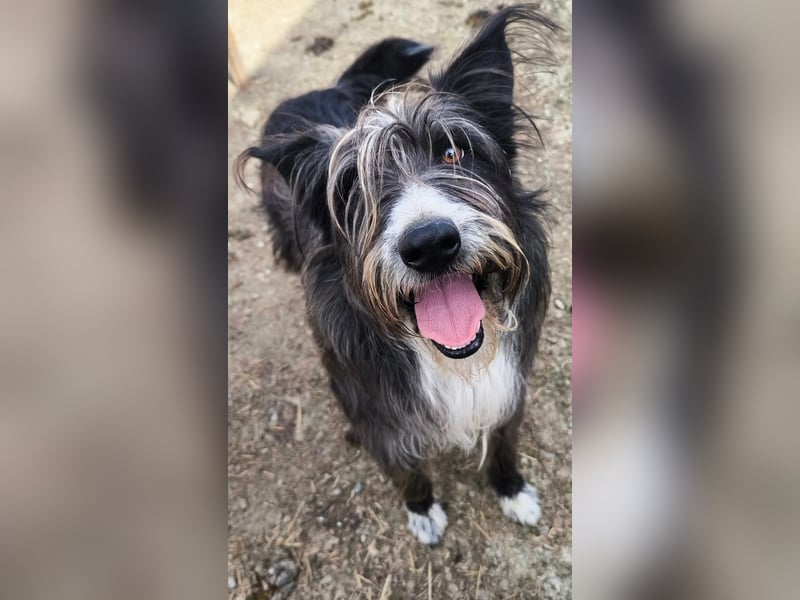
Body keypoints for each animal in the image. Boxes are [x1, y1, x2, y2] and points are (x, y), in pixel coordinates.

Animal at [238, 5, 557, 545]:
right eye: (351, 189)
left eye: (453, 152)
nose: (429, 245)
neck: (447, 359)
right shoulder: (380, 418)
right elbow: (407, 469)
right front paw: (422, 509)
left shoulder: (510, 386)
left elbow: (503, 439)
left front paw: (512, 488)